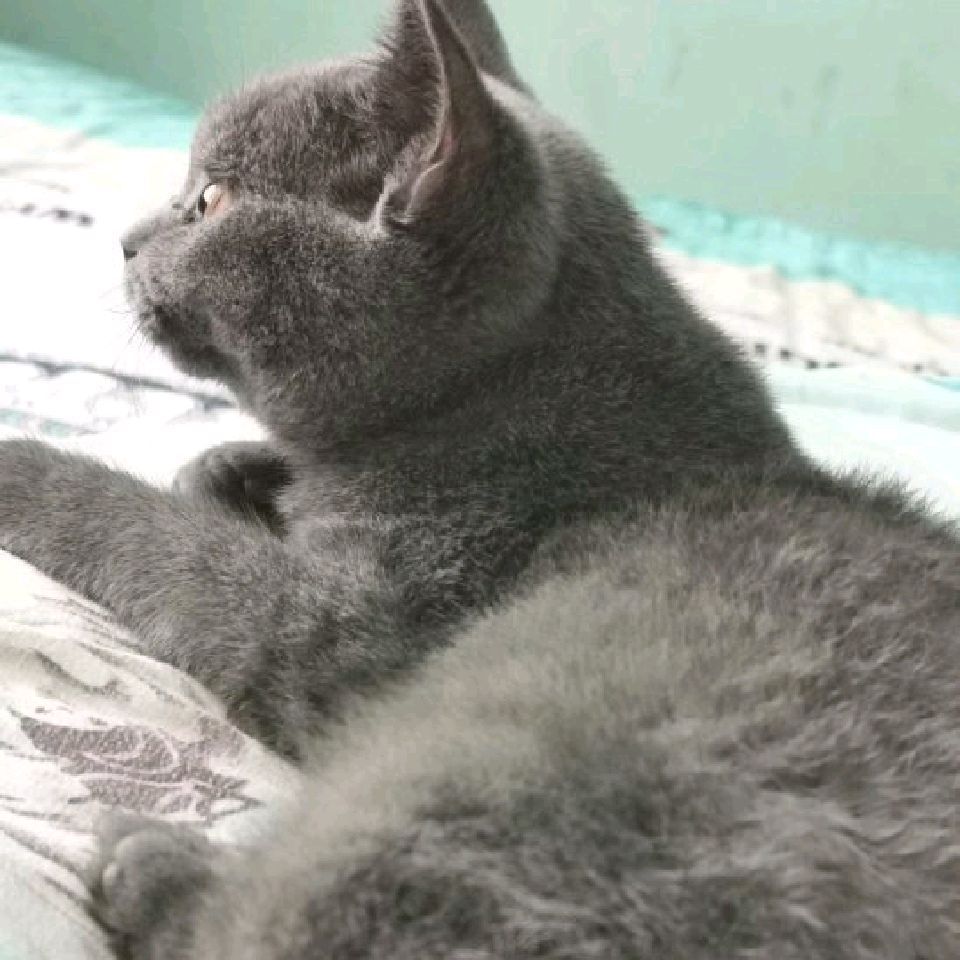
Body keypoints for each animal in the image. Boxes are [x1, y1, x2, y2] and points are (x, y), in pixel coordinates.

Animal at [0, 0, 955, 956]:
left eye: (211, 200)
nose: (124, 239)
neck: (483, 415)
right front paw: (232, 469)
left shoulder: (358, 631)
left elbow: (164, 540)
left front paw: (26, 466)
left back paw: (148, 865)